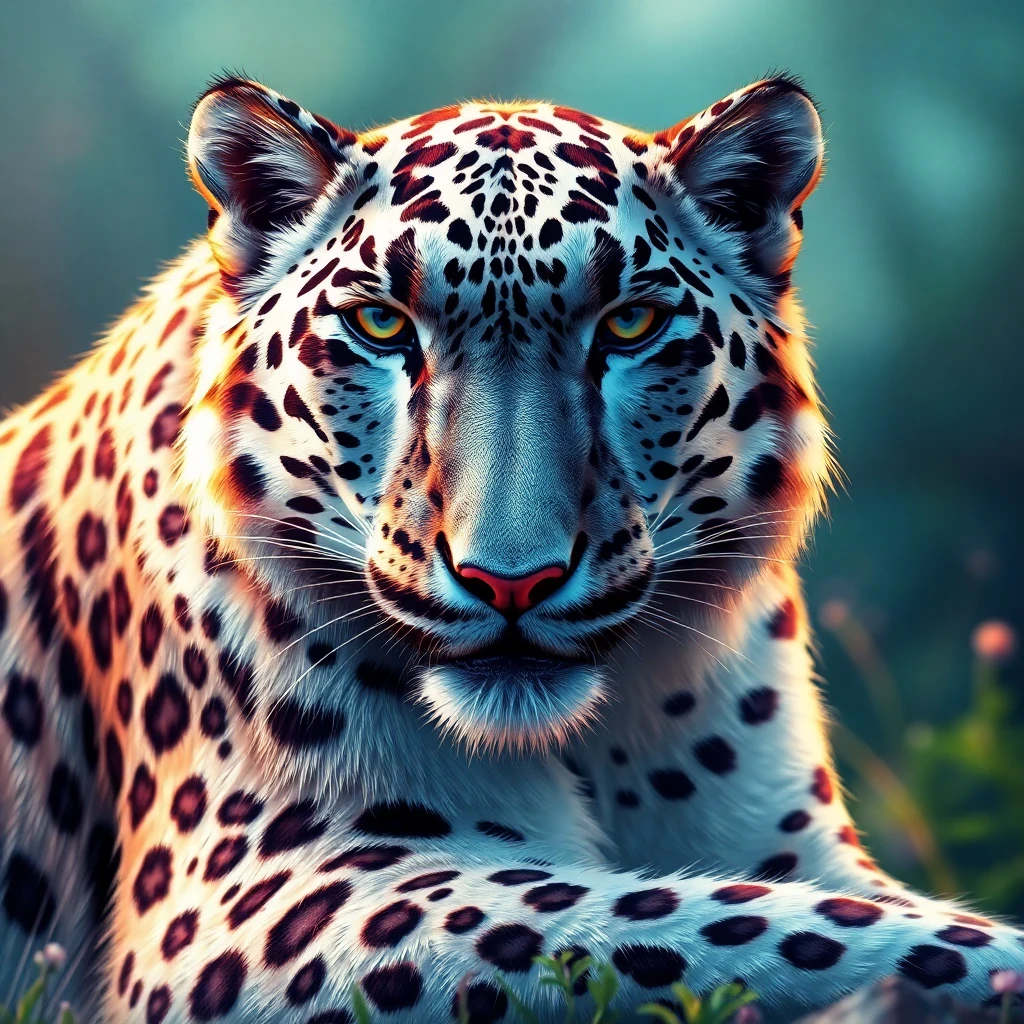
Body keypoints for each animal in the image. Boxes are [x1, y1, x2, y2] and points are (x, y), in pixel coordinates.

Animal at [0, 72, 1020, 1024]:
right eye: (380, 325)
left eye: (630, 325)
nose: (511, 580)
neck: (599, 741)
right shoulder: (244, 905)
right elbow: (722, 926)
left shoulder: (784, 841)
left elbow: (817, 910)